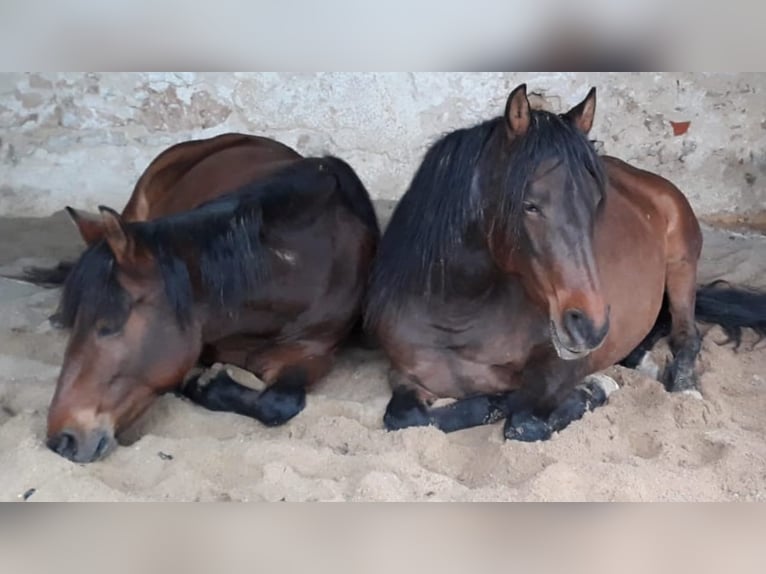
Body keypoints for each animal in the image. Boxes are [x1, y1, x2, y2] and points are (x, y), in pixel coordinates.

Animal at [368, 83, 766, 444]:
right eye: (529, 205)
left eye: (596, 202)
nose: (590, 326)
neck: (458, 314)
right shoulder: (404, 377)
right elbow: (405, 418)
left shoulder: (560, 365)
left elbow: (523, 420)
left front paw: (595, 388)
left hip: (681, 263)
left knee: (686, 335)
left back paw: (684, 387)